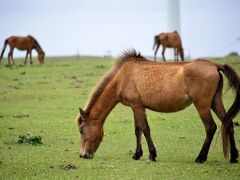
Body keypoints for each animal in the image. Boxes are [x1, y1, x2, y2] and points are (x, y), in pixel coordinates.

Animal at [76, 48, 239, 163]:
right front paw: (137, 155)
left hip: (202, 105)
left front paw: (152, 155)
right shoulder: (136, 107)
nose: (83, 154)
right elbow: (138, 130)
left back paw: (200, 158)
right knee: (228, 123)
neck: (123, 77)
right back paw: (233, 157)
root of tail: (215, 65)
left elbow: (145, 129)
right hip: (215, 102)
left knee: (211, 127)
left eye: (81, 130)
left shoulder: (137, 106)